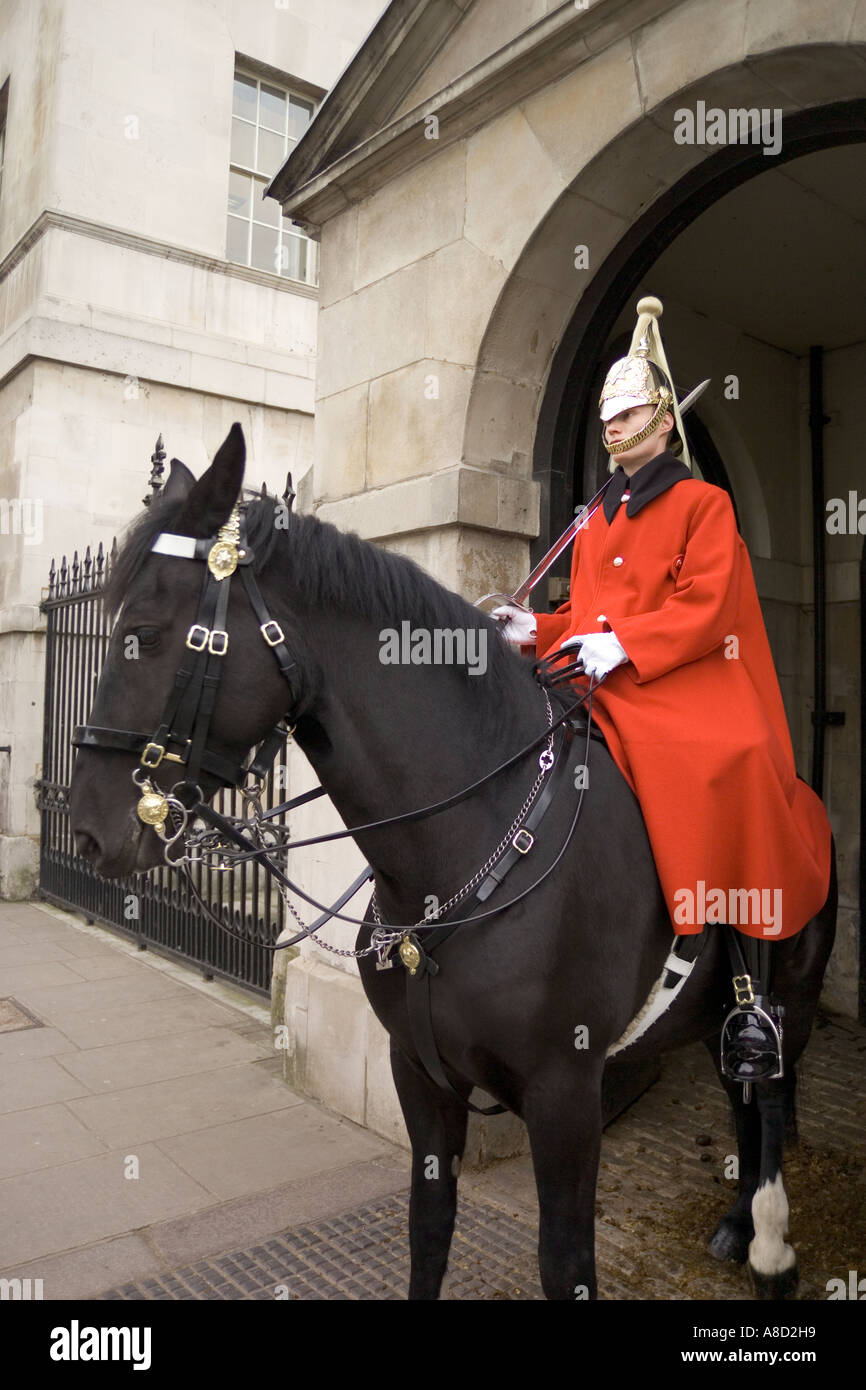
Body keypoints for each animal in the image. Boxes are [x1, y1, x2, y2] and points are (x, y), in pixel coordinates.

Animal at [71, 422, 839, 1301]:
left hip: (792, 1000)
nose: (86, 831)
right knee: (741, 1098)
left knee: (768, 1098)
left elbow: (566, 1264)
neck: (461, 847)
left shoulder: (566, 1094)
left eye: (145, 632)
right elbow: (428, 1230)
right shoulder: (419, 1073)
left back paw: (770, 1241)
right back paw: (739, 1223)